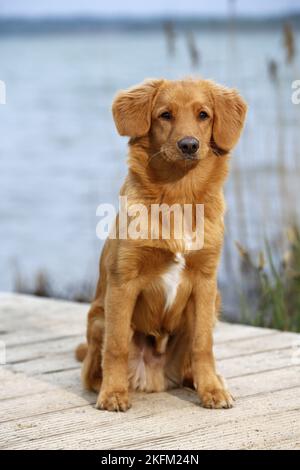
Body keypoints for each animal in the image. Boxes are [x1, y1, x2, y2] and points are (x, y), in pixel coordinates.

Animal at [76, 78, 247, 412]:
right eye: (165, 115)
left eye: (203, 115)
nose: (189, 145)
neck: (178, 194)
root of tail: (154, 377)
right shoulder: (123, 282)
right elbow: (116, 346)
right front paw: (113, 393)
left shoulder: (206, 282)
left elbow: (203, 344)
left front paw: (211, 390)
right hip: (98, 318)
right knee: (93, 366)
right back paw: (107, 385)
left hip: (214, 304)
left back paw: (212, 381)